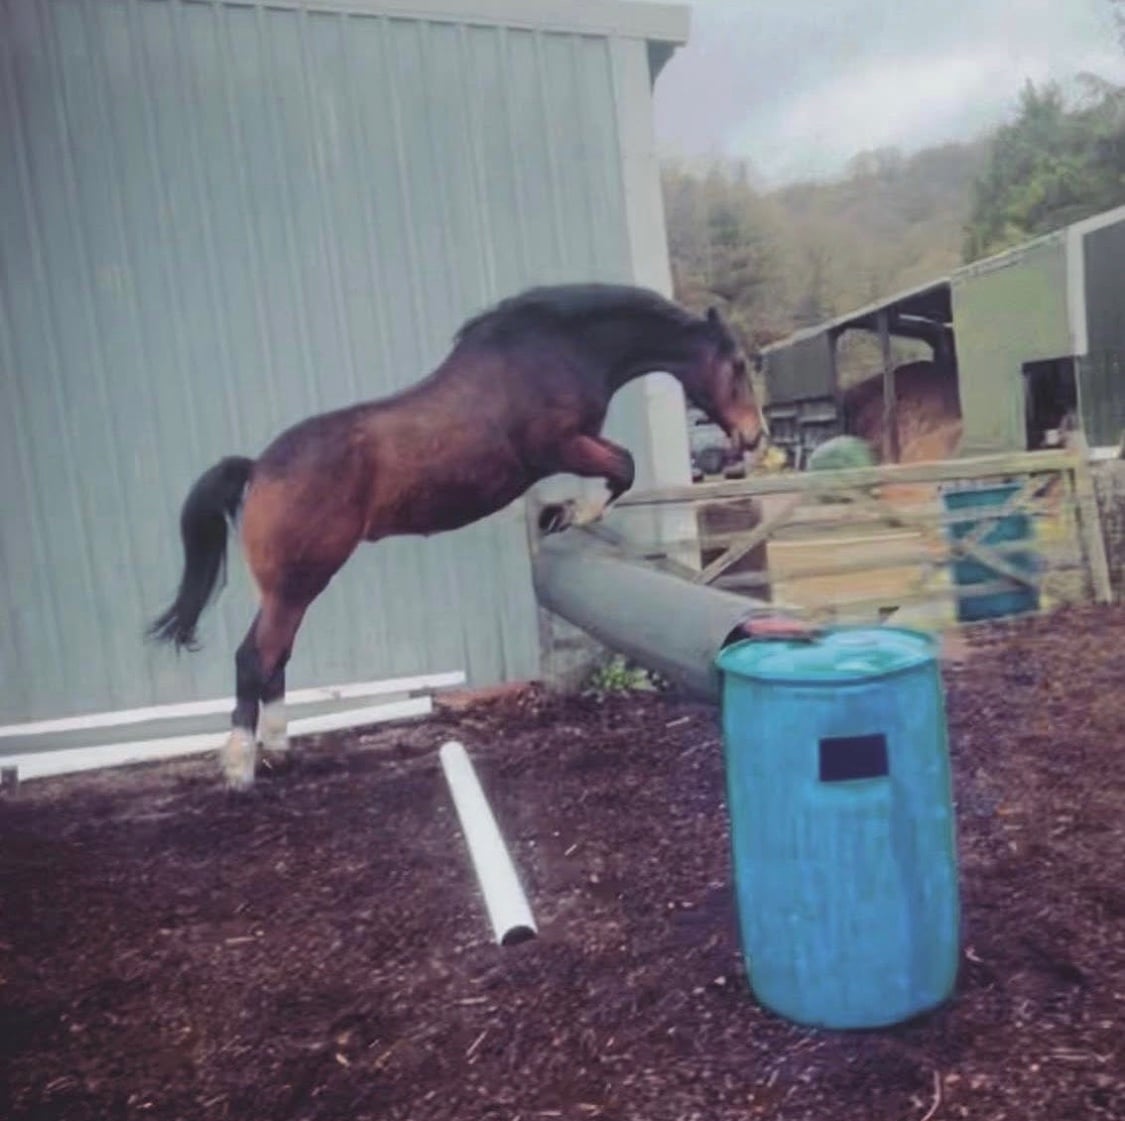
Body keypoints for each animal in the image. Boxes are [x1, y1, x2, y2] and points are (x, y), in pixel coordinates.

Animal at [146, 283, 766, 789]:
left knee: (275, 656)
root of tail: (258, 468)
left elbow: (620, 468)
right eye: (736, 365)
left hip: (290, 589)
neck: (562, 349)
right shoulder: (557, 446)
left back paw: (279, 749)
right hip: (298, 582)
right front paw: (569, 513)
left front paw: (562, 513)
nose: (755, 437)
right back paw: (240, 767)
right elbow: (625, 465)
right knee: (255, 657)